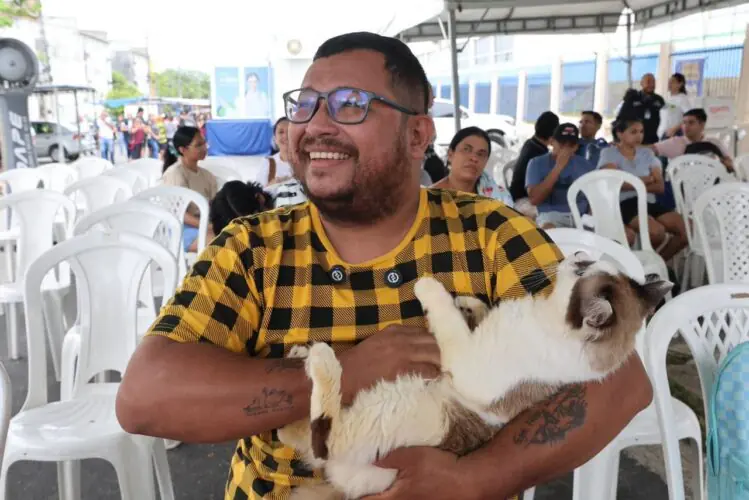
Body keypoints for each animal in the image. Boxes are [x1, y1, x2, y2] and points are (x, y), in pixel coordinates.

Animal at [278, 252, 672, 500]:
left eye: (583, 267)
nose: (574, 253)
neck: (546, 317)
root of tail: (344, 485)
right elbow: (475, 315)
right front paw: (469, 303)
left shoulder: (467, 363)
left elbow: (447, 318)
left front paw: (429, 288)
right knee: (297, 436)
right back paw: (301, 359)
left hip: (390, 418)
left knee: (324, 439)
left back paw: (322, 360)